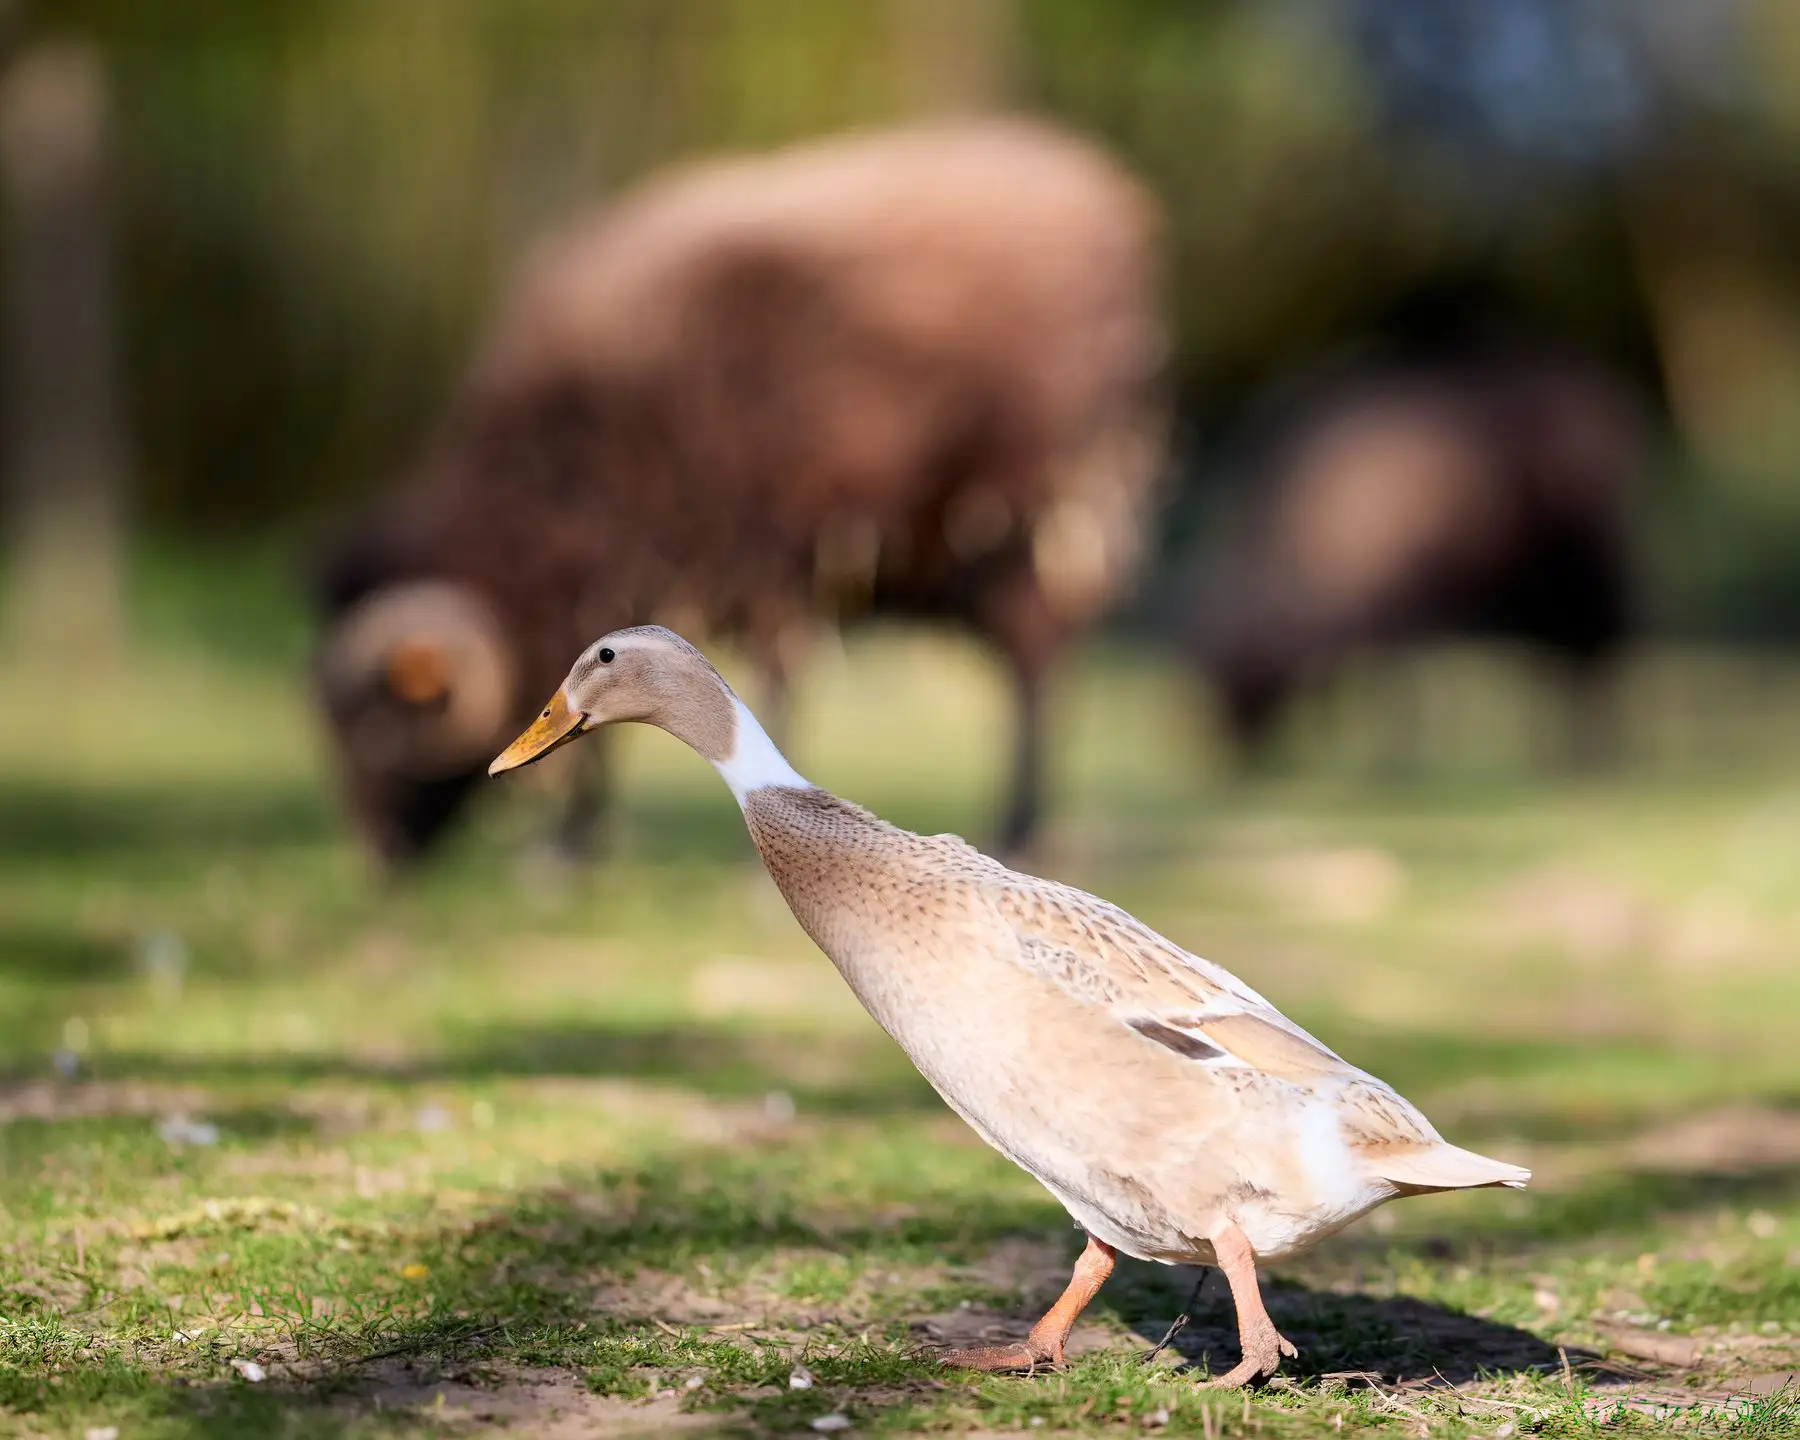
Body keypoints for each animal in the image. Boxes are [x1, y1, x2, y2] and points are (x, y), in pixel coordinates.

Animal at [314, 118, 1167, 865]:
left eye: (382, 726)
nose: (374, 858)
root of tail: (1107, 198)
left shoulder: (763, 543)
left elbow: (768, 680)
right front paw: (578, 843)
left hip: (1041, 514)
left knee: (1036, 667)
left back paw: (1020, 825)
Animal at [1189, 341, 1642, 761]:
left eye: (1240, 663)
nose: (1236, 750)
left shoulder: (1408, 609)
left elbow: (1400, 687)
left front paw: (1398, 756)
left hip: (1587, 572)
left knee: (1594, 652)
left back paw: (1589, 751)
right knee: (1562, 664)